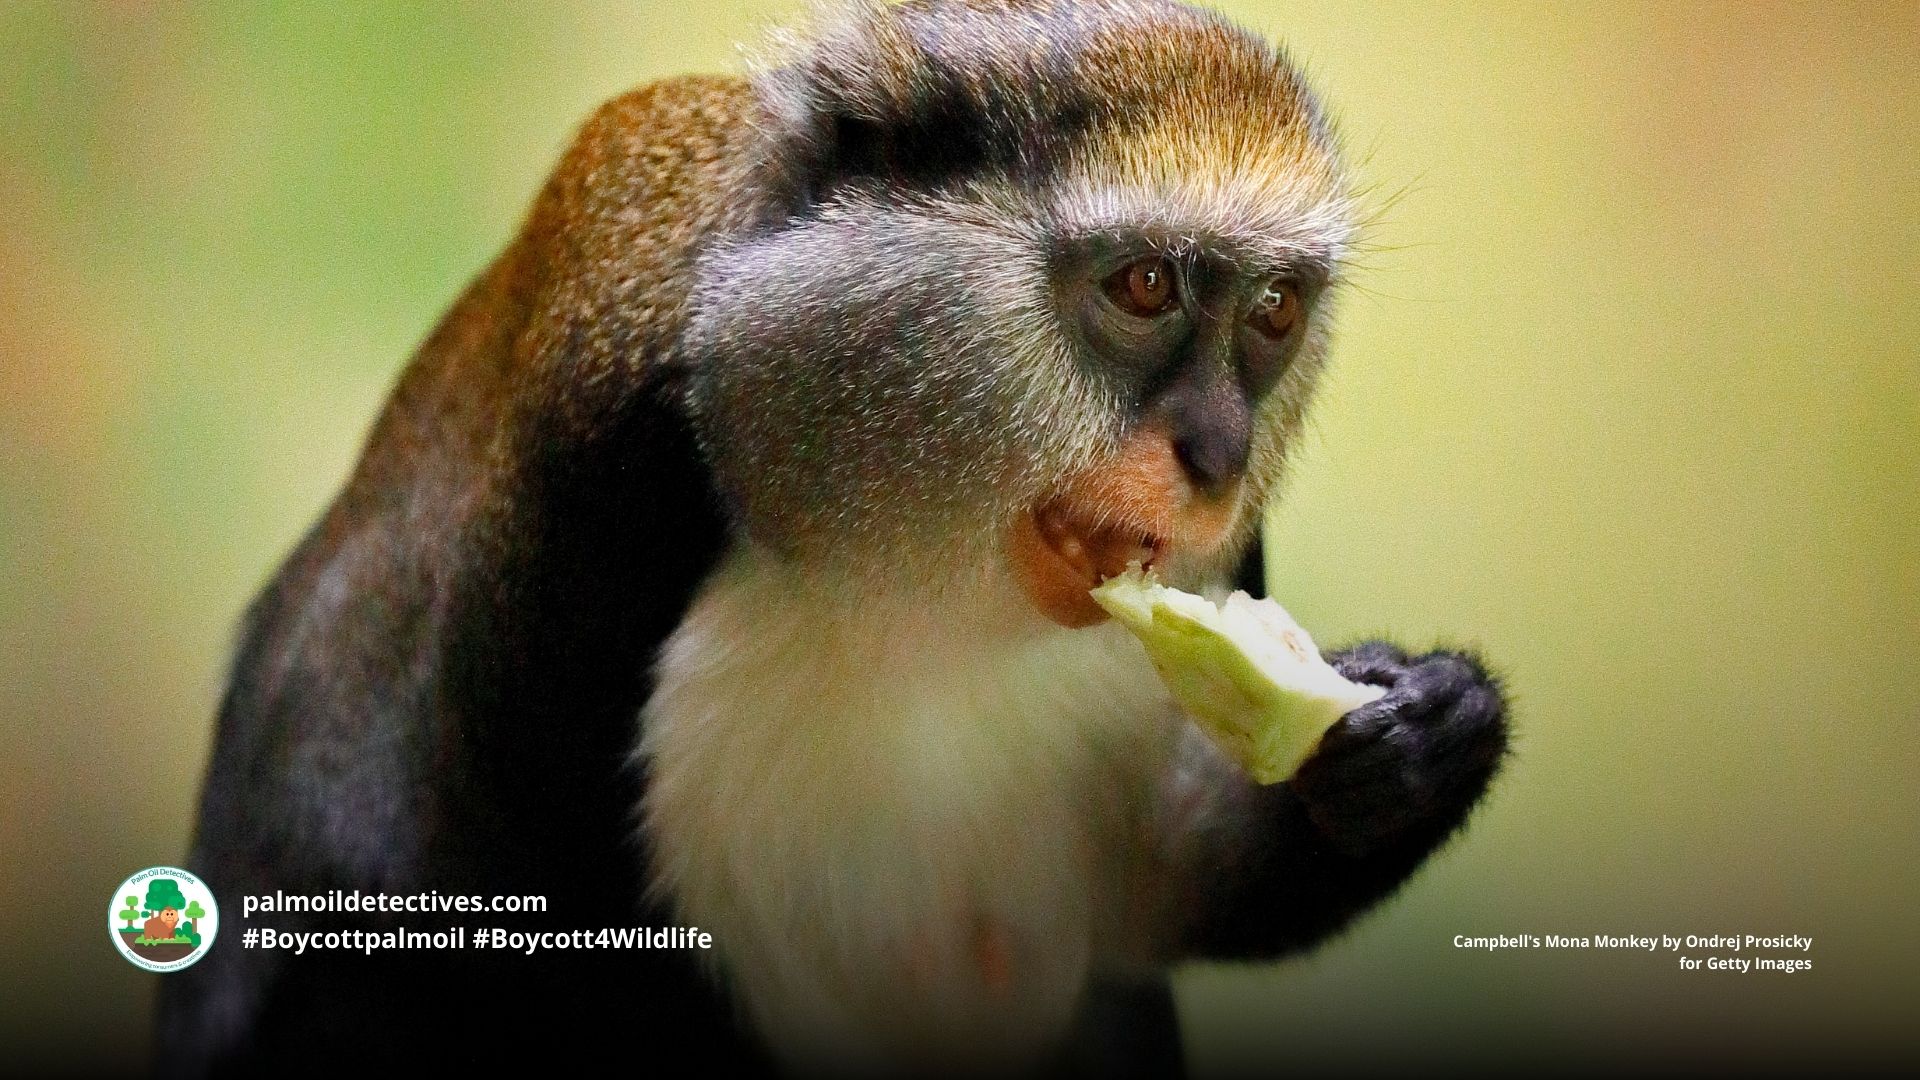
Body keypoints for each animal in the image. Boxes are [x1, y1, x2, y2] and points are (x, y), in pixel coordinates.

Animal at [156, 0, 1508, 1074]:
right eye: (1144, 287)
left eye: (1273, 310)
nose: (1221, 457)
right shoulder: (585, 472)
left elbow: (1154, 902)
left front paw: (1425, 735)